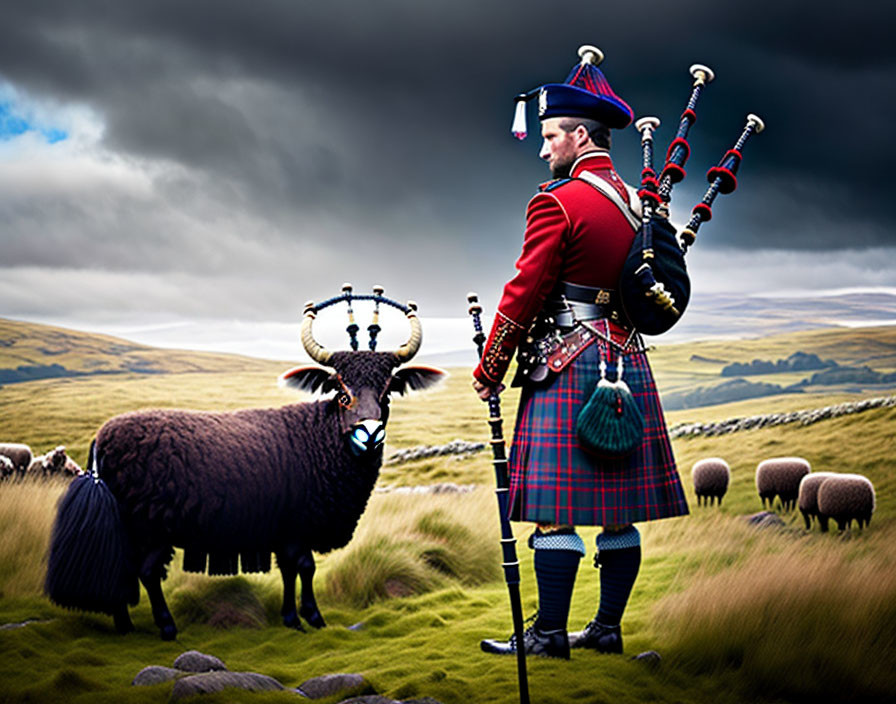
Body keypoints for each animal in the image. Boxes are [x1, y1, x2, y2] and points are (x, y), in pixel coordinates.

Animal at [45, 306, 444, 640]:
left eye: (388, 393)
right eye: (342, 393)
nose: (371, 434)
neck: (319, 438)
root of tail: (102, 437)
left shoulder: (284, 528)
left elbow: (289, 570)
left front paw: (291, 618)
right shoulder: (298, 524)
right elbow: (305, 567)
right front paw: (312, 618)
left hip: (131, 526)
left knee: (123, 568)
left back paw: (124, 625)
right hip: (150, 525)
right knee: (144, 572)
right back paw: (166, 626)